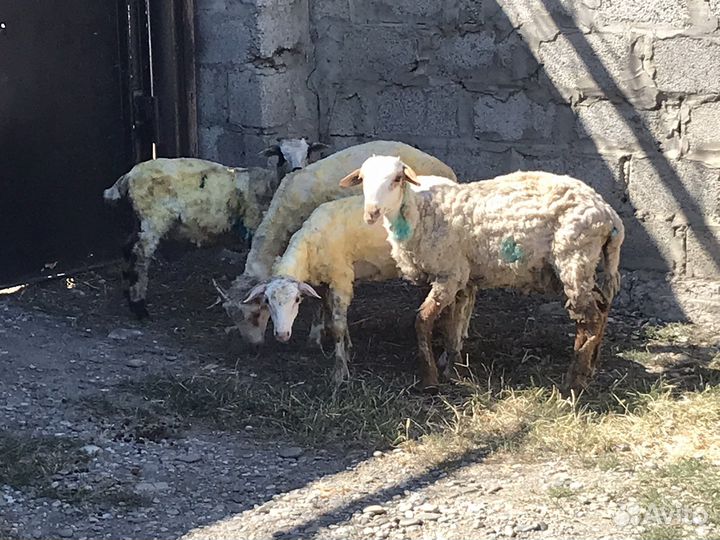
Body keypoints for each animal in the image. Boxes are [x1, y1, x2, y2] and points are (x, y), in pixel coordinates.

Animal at [104, 157, 277, 319]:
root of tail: (129, 175)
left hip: (141, 222)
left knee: (127, 248)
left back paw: (128, 296)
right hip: (153, 219)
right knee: (139, 257)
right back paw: (139, 306)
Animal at [212, 140, 458, 346]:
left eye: (256, 313)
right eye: (233, 316)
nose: (253, 345)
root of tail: (448, 169)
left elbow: (320, 297)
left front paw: (317, 333)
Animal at [240, 180, 476, 386]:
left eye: (297, 300)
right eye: (267, 302)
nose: (281, 335)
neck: (310, 243)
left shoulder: (341, 276)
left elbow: (337, 325)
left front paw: (340, 371)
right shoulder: (327, 280)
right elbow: (332, 315)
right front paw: (348, 349)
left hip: (449, 263)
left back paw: (450, 352)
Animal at [340, 156, 625, 393]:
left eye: (397, 179)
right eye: (363, 180)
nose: (371, 213)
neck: (419, 209)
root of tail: (609, 216)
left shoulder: (450, 272)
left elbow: (423, 321)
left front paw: (430, 378)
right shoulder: (457, 277)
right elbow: (450, 323)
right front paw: (451, 364)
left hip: (573, 260)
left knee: (590, 319)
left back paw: (575, 379)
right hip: (576, 268)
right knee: (600, 308)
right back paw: (591, 365)